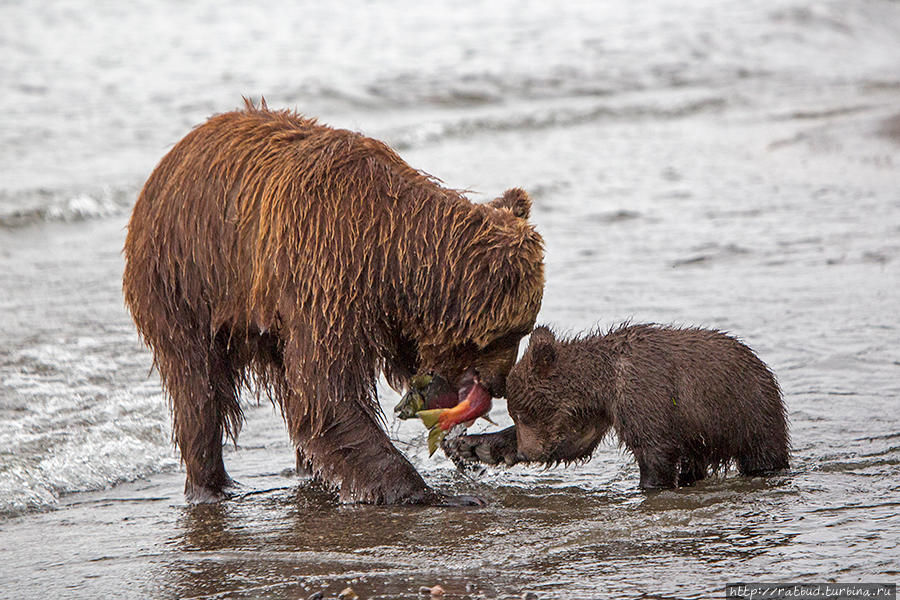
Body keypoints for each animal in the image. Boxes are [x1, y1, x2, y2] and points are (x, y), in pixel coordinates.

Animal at [123, 101, 544, 504]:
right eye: (510, 334)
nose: (499, 383)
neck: (390, 251)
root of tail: (163, 168)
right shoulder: (325, 273)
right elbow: (327, 395)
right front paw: (432, 492)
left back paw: (306, 472)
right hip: (185, 281)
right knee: (199, 390)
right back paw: (211, 485)